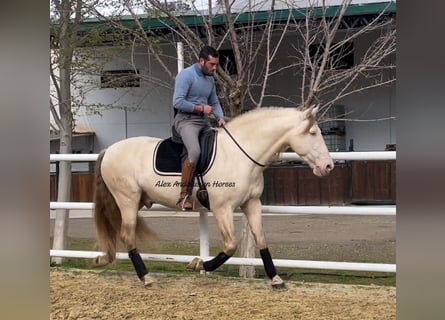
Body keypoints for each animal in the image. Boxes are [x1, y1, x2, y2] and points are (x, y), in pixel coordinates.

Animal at [93, 105, 332, 288]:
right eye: (313, 133)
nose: (328, 166)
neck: (240, 154)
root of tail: (109, 150)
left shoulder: (252, 203)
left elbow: (261, 239)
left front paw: (275, 279)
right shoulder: (222, 208)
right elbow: (231, 245)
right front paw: (199, 264)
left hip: (135, 201)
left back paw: (107, 259)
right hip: (127, 200)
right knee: (127, 235)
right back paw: (146, 277)